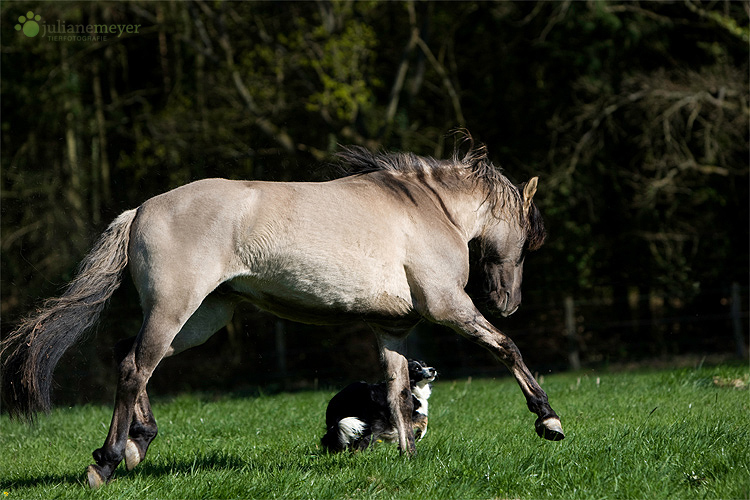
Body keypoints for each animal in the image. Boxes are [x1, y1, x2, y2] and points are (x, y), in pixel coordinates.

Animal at [0, 136, 564, 488]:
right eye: (526, 238)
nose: (508, 302)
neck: (426, 208)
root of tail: (140, 210)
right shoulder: (449, 306)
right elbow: (505, 349)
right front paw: (549, 420)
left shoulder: (391, 328)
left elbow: (398, 392)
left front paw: (406, 457)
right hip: (174, 309)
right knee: (135, 367)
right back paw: (110, 460)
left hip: (202, 319)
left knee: (130, 358)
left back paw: (139, 443)